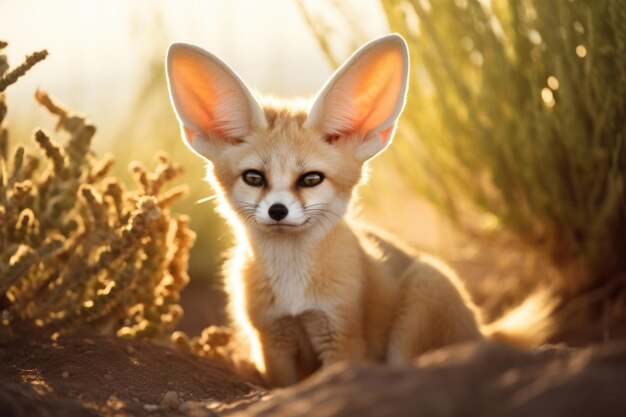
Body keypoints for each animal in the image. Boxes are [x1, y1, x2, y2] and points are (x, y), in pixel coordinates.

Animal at [165, 34, 478, 386]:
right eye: (254, 178)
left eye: (311, 179)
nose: (277, 210)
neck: (293, 291)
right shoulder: (273, 340)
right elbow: (284, 387)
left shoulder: (341, 334)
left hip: (421, 295)